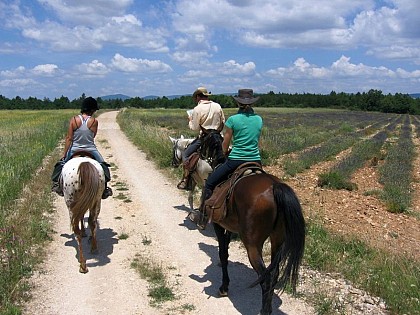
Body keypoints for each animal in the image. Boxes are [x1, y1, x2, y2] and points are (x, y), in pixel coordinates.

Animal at [197, 130, 306, 314]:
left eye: (203, 138)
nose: (199, 153)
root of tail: (274, 187)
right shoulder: (230, 227)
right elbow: (225, 250)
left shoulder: (219, 225)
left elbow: (223, 253)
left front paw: (224, 287)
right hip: (277, 239)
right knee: (274, 274)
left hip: (253, 244)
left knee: (265, 277)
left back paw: (264, 310)